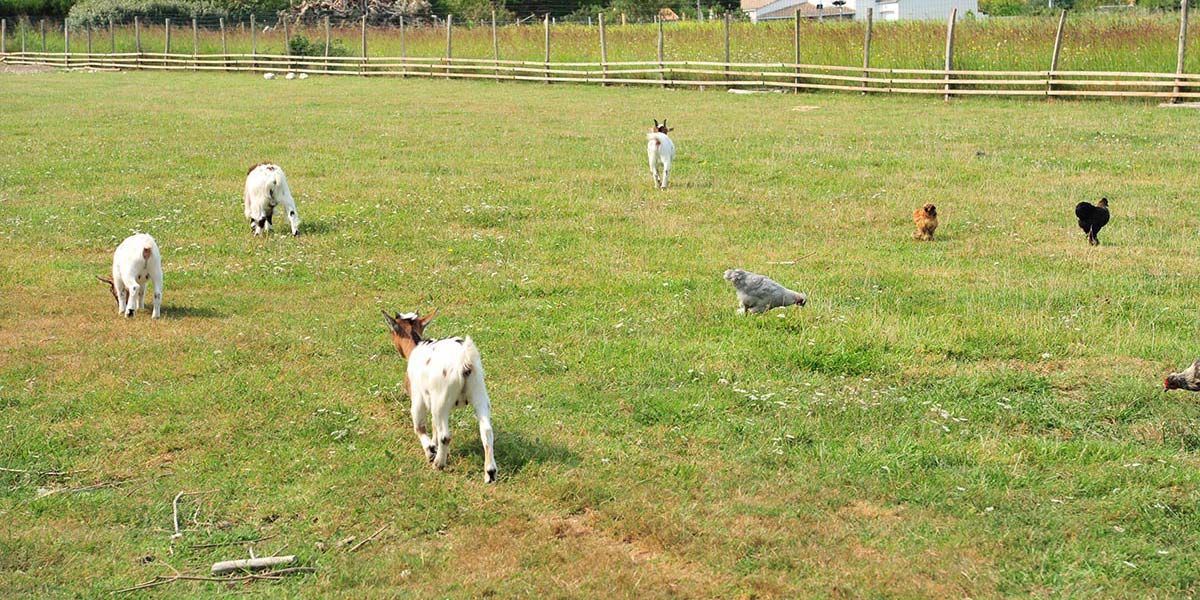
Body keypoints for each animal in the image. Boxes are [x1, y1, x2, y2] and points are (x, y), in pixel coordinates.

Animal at [384, 309, 496, 482]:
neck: (415, 347)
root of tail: (464, 360)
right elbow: (434, 425)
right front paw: (434, 447)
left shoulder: (418, 398)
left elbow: (420, 427)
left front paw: (431, 451)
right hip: (479, 393)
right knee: (486, 430)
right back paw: (490, 473)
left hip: (441, 399)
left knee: (445, 435)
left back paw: (438, 464)